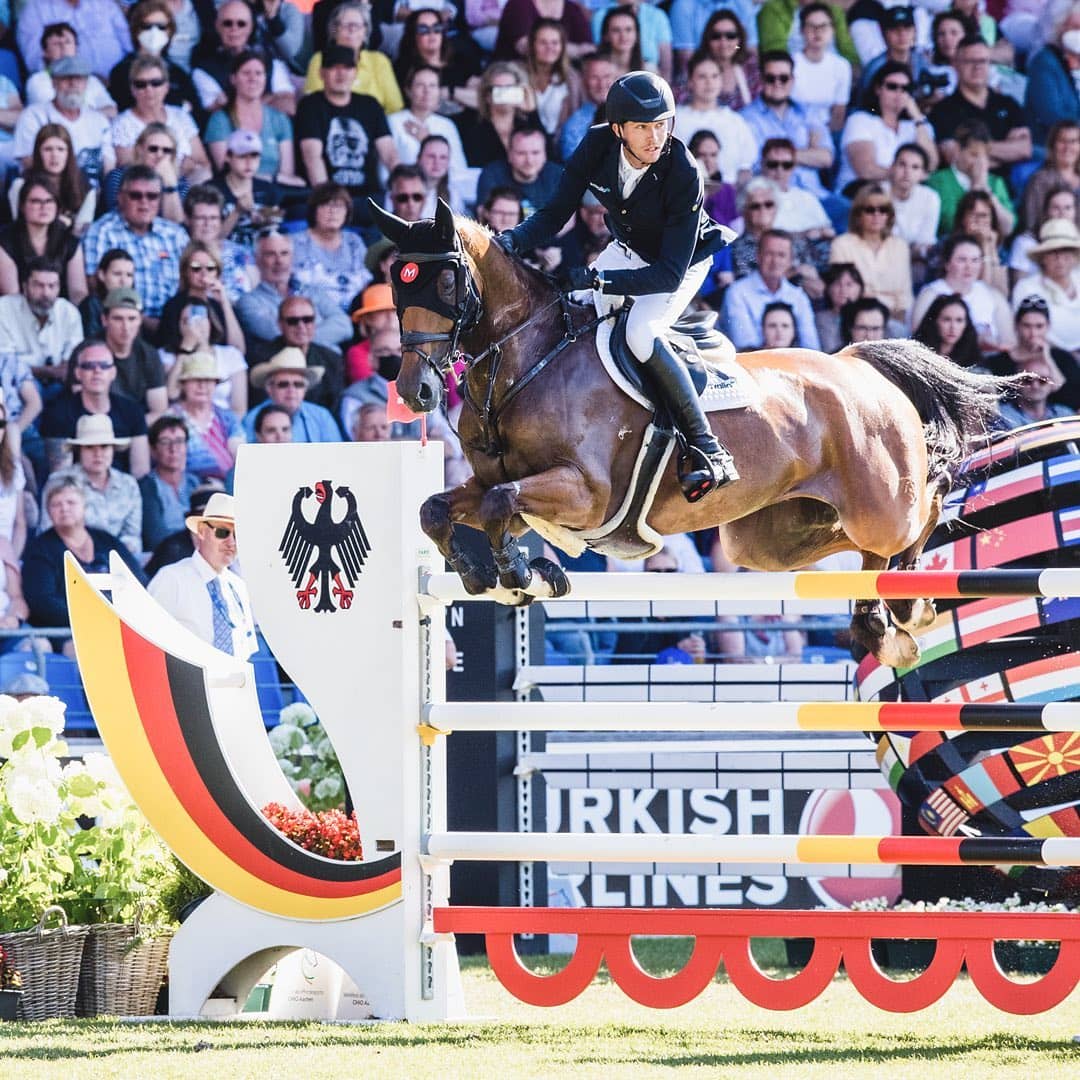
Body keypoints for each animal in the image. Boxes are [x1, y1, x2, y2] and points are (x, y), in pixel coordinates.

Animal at [371, 198, 1019, 660]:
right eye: (398, 284)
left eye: (445, 283)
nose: (415, 391)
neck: (527, 360)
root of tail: (858, 364)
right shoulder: (498, 486)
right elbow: (440, 508)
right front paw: (487, 573)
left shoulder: (586, 494)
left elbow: (501, 503)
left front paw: (517, 572)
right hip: (768, 538)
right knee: (856, 550)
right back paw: (880, 623)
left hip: (880, 504)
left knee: (925, 505)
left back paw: (912, 607)